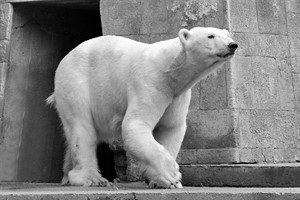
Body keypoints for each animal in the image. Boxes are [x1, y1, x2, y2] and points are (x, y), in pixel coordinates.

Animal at [47, 27, 238, 189]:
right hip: (76, 82)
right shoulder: (149, 83)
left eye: (227, 34)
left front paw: (163, 181)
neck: (169, 70)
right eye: (210, 35)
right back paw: (92, 178)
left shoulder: (177, 95)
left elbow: (171, 128)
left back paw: (67, 176)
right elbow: (135, 126)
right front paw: (172, 174)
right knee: (82, 128)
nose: (232, 45)